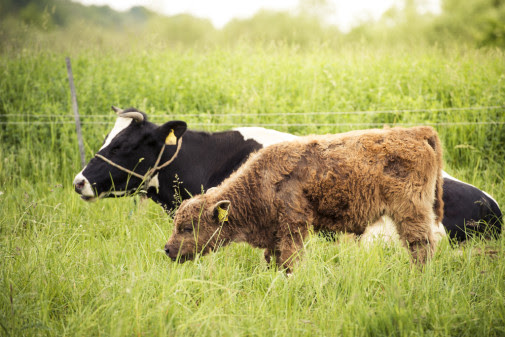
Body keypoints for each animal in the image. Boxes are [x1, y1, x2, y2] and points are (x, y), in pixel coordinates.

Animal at [165, 124, 440, 272]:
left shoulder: (293, 227)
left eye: (188, 227)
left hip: (410, 213)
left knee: (420, 246)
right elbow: (274, 261)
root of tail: (415, 133)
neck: (260, 181)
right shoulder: (274, 236)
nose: (167, 249)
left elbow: (290, 261)